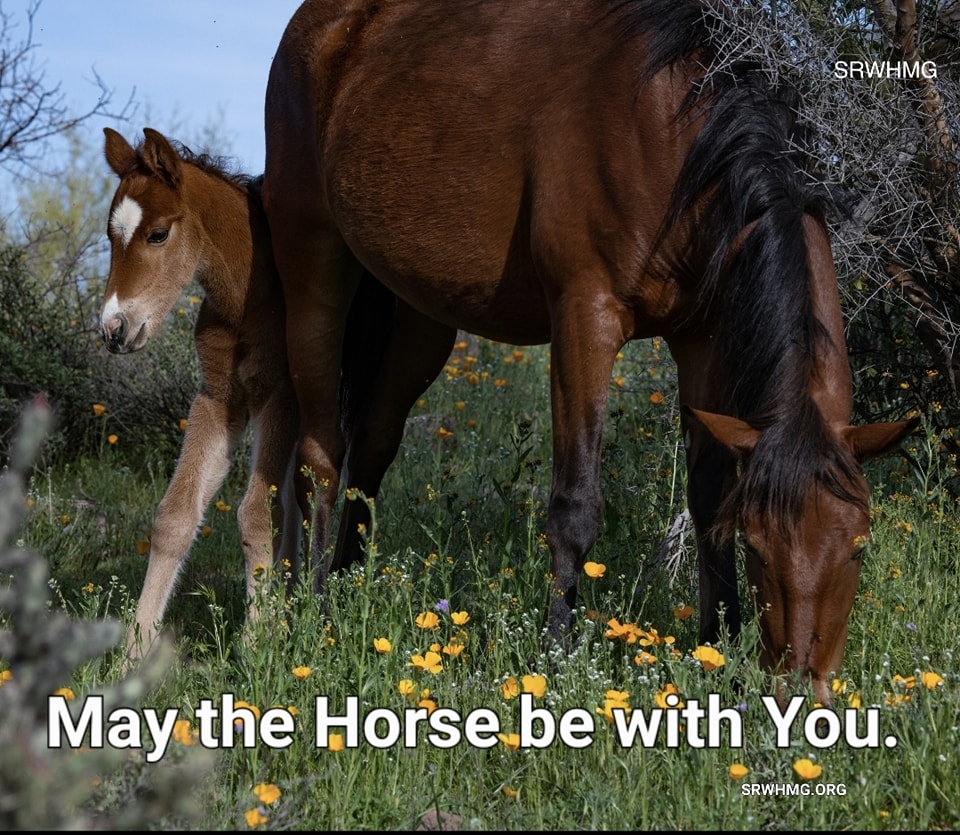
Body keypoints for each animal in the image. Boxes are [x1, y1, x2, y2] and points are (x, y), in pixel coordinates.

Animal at [100, 128, 305, 661]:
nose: (113, 328)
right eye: (110, 237)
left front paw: (259, 641)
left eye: (157, 234)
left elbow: (257, 513)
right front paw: (136, 646)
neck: (246, 299)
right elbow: (174, 516)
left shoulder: (280, 396)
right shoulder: (217, 399)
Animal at [260, 0, 917, 704]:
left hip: (416, 319)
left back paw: (346, 595)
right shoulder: (585, 317)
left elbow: (707, 495)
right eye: (758, 547)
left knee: (372, 454)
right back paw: (311, 616)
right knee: (319, 459)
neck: (681, 132)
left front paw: (715, 647)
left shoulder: (704, 340)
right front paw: (555, 657)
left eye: (858, 547)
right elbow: (574, 507)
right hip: (314, 269)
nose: (802, 691)